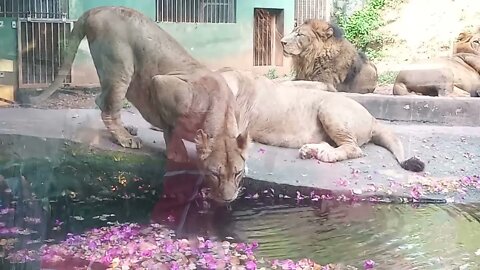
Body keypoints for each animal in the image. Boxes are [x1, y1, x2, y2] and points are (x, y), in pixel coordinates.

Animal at [25, 6, 251, 204]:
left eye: (238, 173)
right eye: (215, 174)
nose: (228, 198)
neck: (221, 118)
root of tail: (98, 8)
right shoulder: (162, 83)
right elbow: (170, 129)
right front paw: (176, 153)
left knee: (102, 101)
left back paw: (127, 129)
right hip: (121, 66)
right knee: (109, 108)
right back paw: (125, 138)